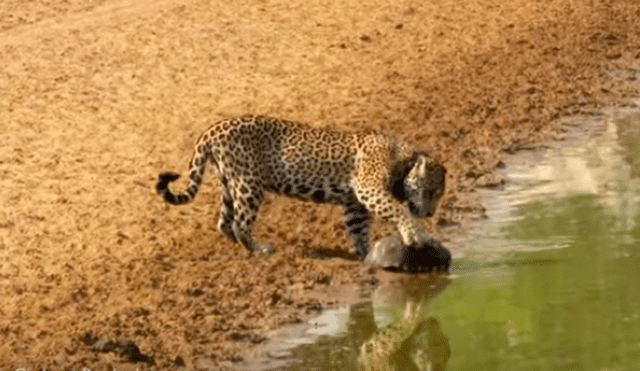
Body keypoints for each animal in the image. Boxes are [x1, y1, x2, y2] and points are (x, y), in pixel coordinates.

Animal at [156, 115, 444, 260]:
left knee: (223, 221)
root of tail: (212, 129)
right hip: (249, 185)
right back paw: (259, 249)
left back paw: (236, 245)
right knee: (239, 222)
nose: (430, 213)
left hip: (228, 183)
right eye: (430, 192)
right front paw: (415, 235)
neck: (403, 159)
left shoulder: (355, 205)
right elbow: (399, 210)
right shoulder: (368, 190)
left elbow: (358, 230)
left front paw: (367, 255)